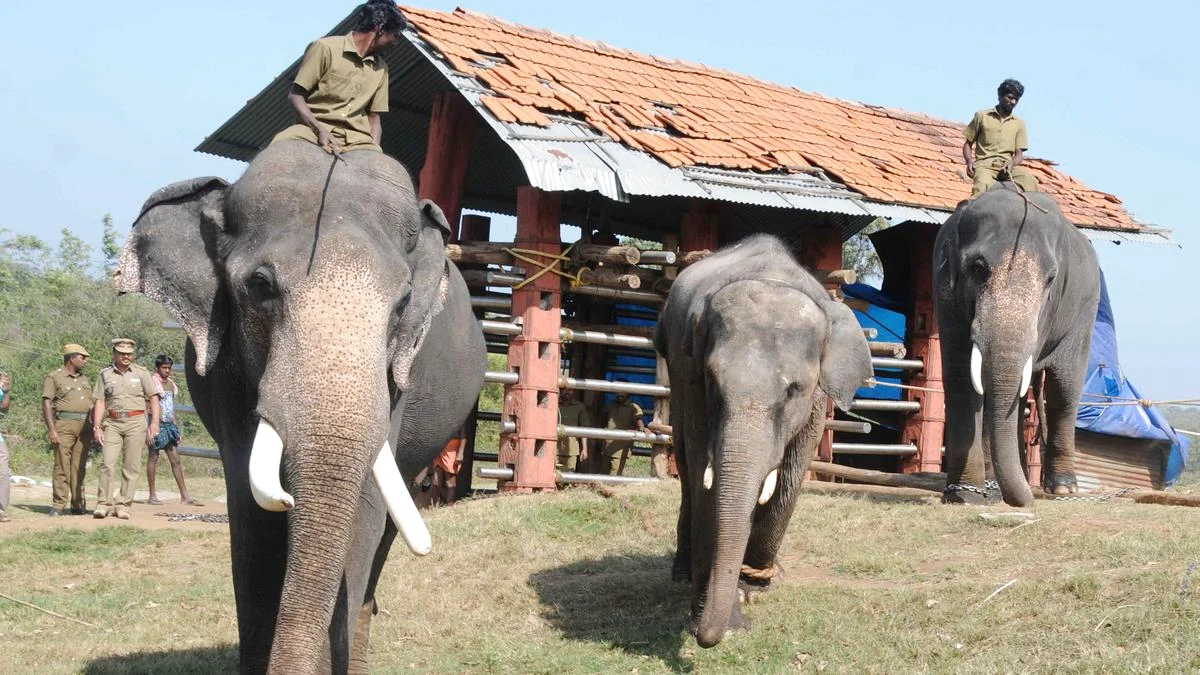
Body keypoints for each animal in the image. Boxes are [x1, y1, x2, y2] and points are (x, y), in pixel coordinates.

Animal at [114, 139, 487, 673]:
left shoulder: (397, 378)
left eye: (403, 303)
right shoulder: (227, 370)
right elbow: (251, 517)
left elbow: (363, 516)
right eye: (260, 285)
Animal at [654, 234, 873, 647]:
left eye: (794, 389)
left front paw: (753, 587)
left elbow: (792, 473)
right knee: (687, 467)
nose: (705, 635)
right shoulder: (691, 377)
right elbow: (705, 474)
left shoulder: (816, 402)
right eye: (713, 380)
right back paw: (681, 572)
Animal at [934, 183, 1100, 507]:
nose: (1026, 501)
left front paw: (985, 491)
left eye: (1051, 278)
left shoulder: (1046, 313)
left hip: (1085, 313)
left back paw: (1063, 489)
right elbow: (961, 376)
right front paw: (964, 495)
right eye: (978, 268)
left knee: (1064, 390)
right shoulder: (944, 288)